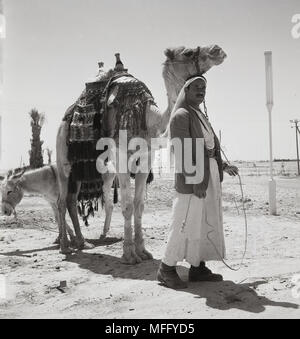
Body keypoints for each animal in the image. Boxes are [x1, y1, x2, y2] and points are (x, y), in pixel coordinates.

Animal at [55, 45, 226, 264]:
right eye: (187, 52)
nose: (217, 50)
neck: (148, 117)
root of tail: (66, 118)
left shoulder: (146, 160)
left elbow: (139, 205)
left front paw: (143, 251)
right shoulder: (120, 157)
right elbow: (127, 205)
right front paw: (128, 254)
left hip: (80, 169)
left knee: (70, 199)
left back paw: (82, 243)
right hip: (64, 161)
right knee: (61, 201)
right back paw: (64, 246)